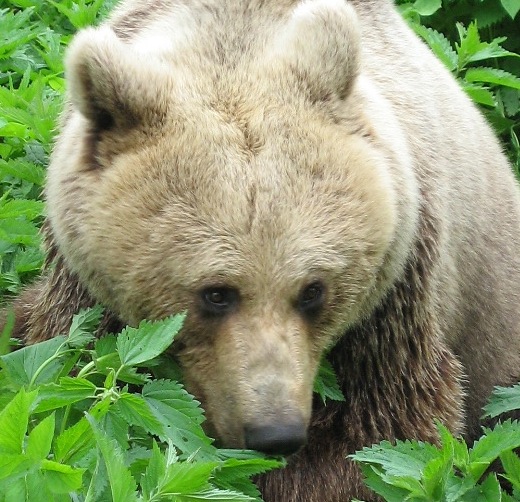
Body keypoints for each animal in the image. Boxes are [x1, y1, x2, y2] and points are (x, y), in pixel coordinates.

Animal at [4, 0, 520, 500]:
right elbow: (63, 360)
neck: (234, 35)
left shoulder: (396, 296)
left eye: (313, 289)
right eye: (216, 293)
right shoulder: (79, 286)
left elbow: (383, 436)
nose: (276, 432)